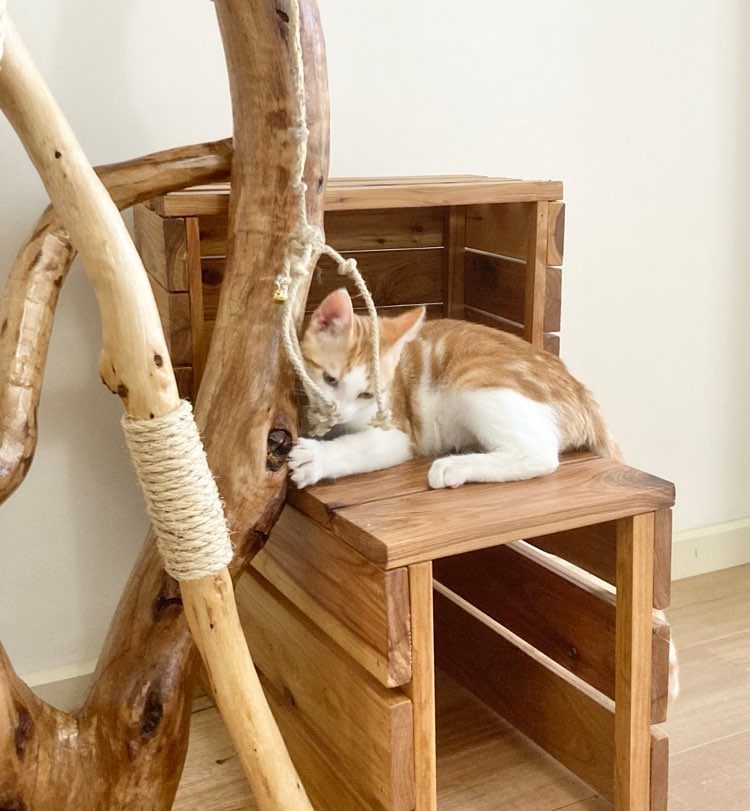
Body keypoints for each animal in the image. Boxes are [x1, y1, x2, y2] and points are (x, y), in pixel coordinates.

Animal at [288, 288, 624, 492]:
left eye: (366, 395)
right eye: (330, 380)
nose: (339, 414)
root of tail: (581, 390)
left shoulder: (398, 433)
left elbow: (359, 446)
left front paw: (315, 458)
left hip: (472, 377)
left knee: (539, 454)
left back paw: (453, 466)